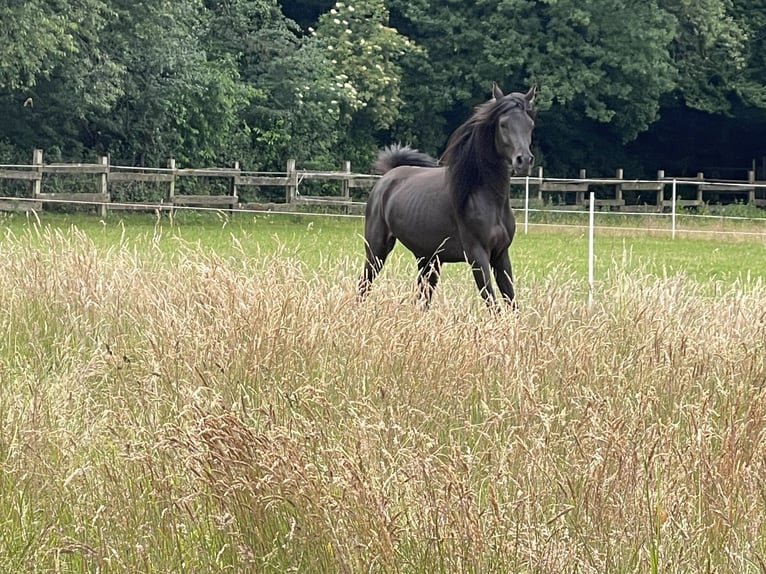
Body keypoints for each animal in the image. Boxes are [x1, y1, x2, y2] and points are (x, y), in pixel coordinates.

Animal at [358, 82, 537, 307]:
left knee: (421, 298)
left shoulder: (501, 255)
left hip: (428, 260)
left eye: (530, 124)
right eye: (503, 124)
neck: (486, 197)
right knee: (364, 284)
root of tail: (388, 176)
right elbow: (492, 302)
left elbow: (511, 302)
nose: (524, 161)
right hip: (377, 250)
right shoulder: (478, 256)